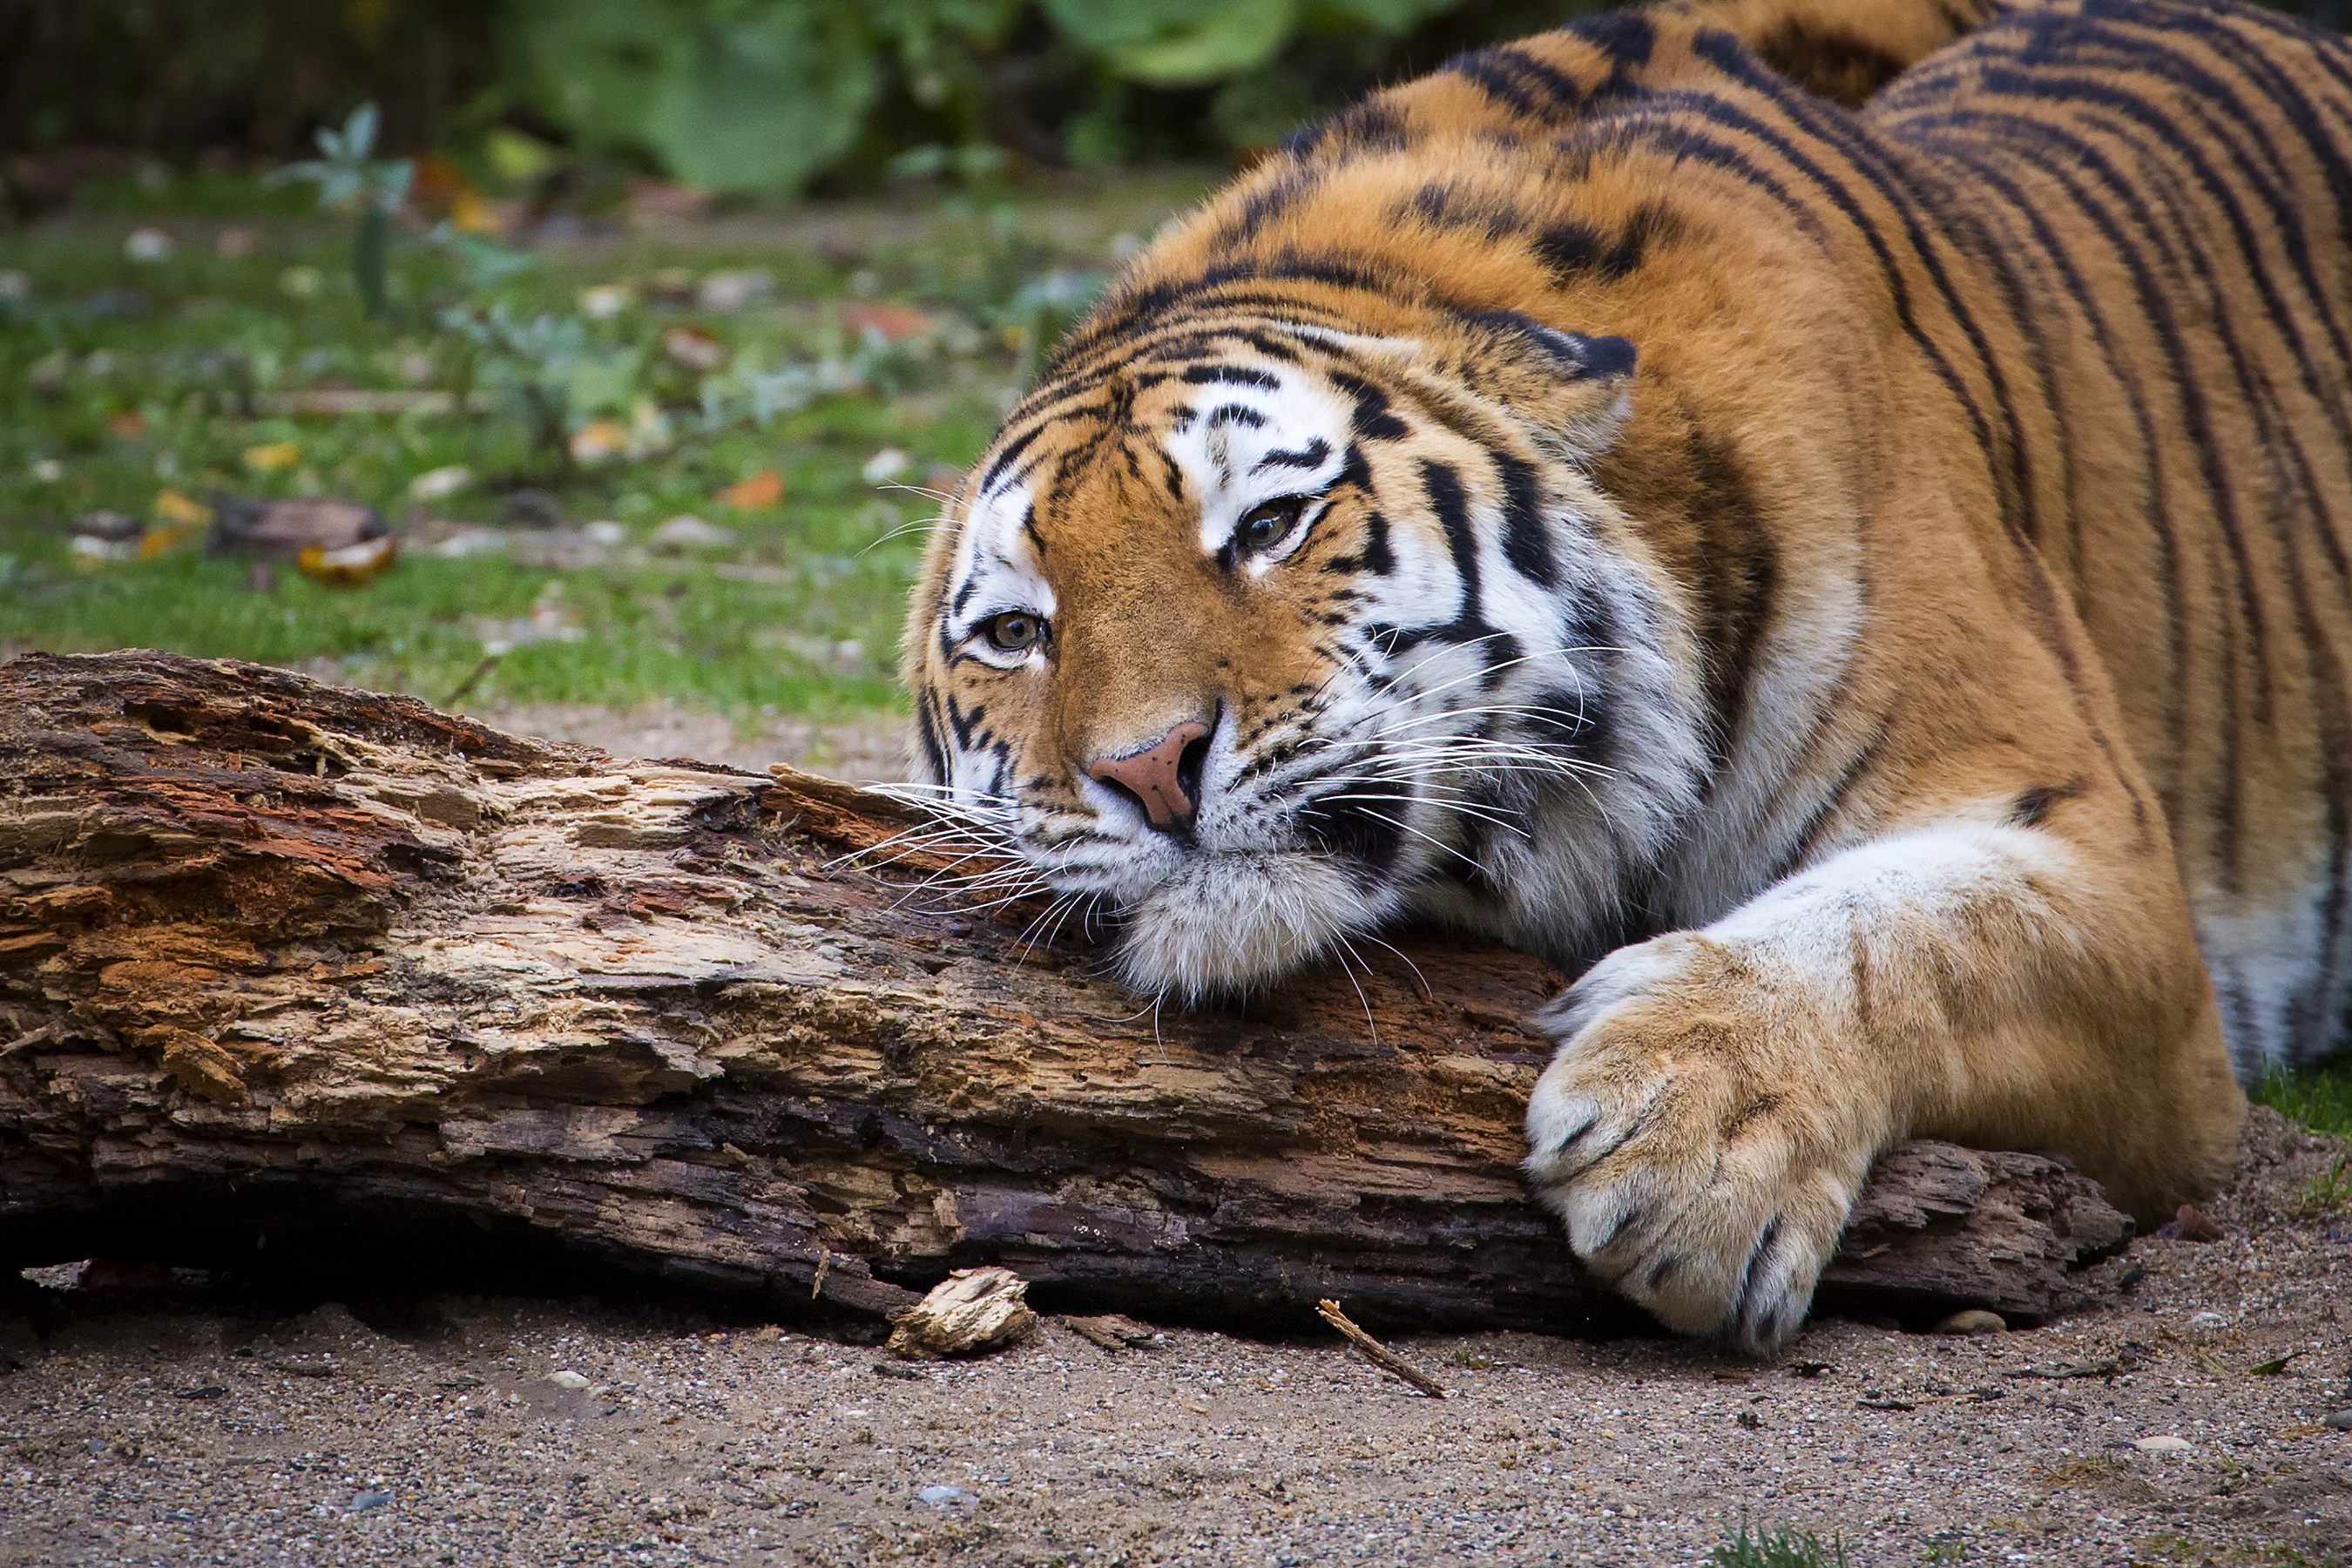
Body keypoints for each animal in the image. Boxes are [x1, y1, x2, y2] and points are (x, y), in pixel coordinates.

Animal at [898, 0, 2352, 1354]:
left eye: (1267, 526)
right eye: (1018, 633)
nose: (1149, 769)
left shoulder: (2115, 877)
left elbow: (1911, 932)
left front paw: (1697, 1141)